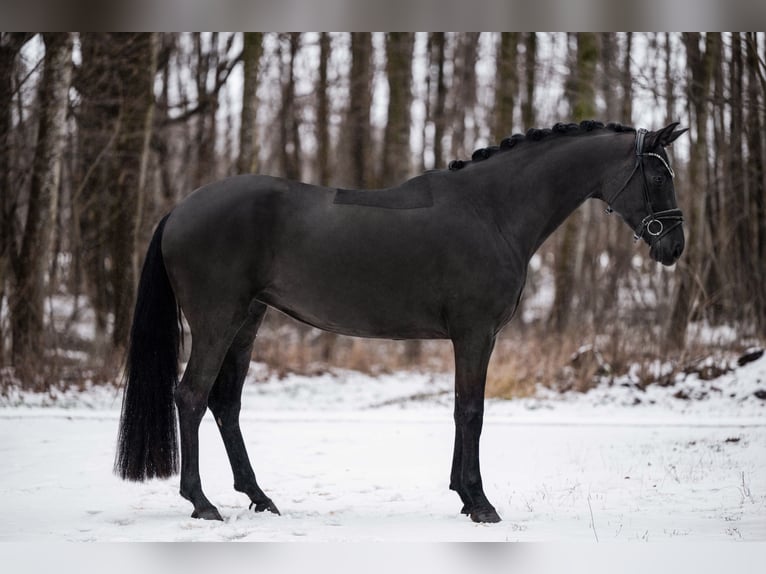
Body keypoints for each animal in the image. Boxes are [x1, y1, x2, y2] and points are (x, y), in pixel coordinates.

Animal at [115, 121, 687, 523]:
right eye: (659, 175)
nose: (675, 247)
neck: (492, 211)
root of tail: (180, 210)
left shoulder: (471, 337)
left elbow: (460, 410)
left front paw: (464, 496)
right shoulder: (475, 334)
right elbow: (472, 411)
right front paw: (480, 503)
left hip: (247, 321)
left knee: (224, 403)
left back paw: (259, 497)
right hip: (218, 319)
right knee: (191, 396)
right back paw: (201, 502)